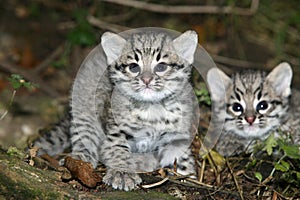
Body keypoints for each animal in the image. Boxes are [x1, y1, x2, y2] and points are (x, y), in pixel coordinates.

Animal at [33, 30, 199, 191]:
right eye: (133, 67)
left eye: (161, 66)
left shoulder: (178, 135)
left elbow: (183, 157)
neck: (152, 107)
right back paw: (80, 159)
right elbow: (117, 149)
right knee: (84, 136)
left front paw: (188, 176)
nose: (146, 80)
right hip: (84, 108)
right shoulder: (115, 132)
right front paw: (122, 172)